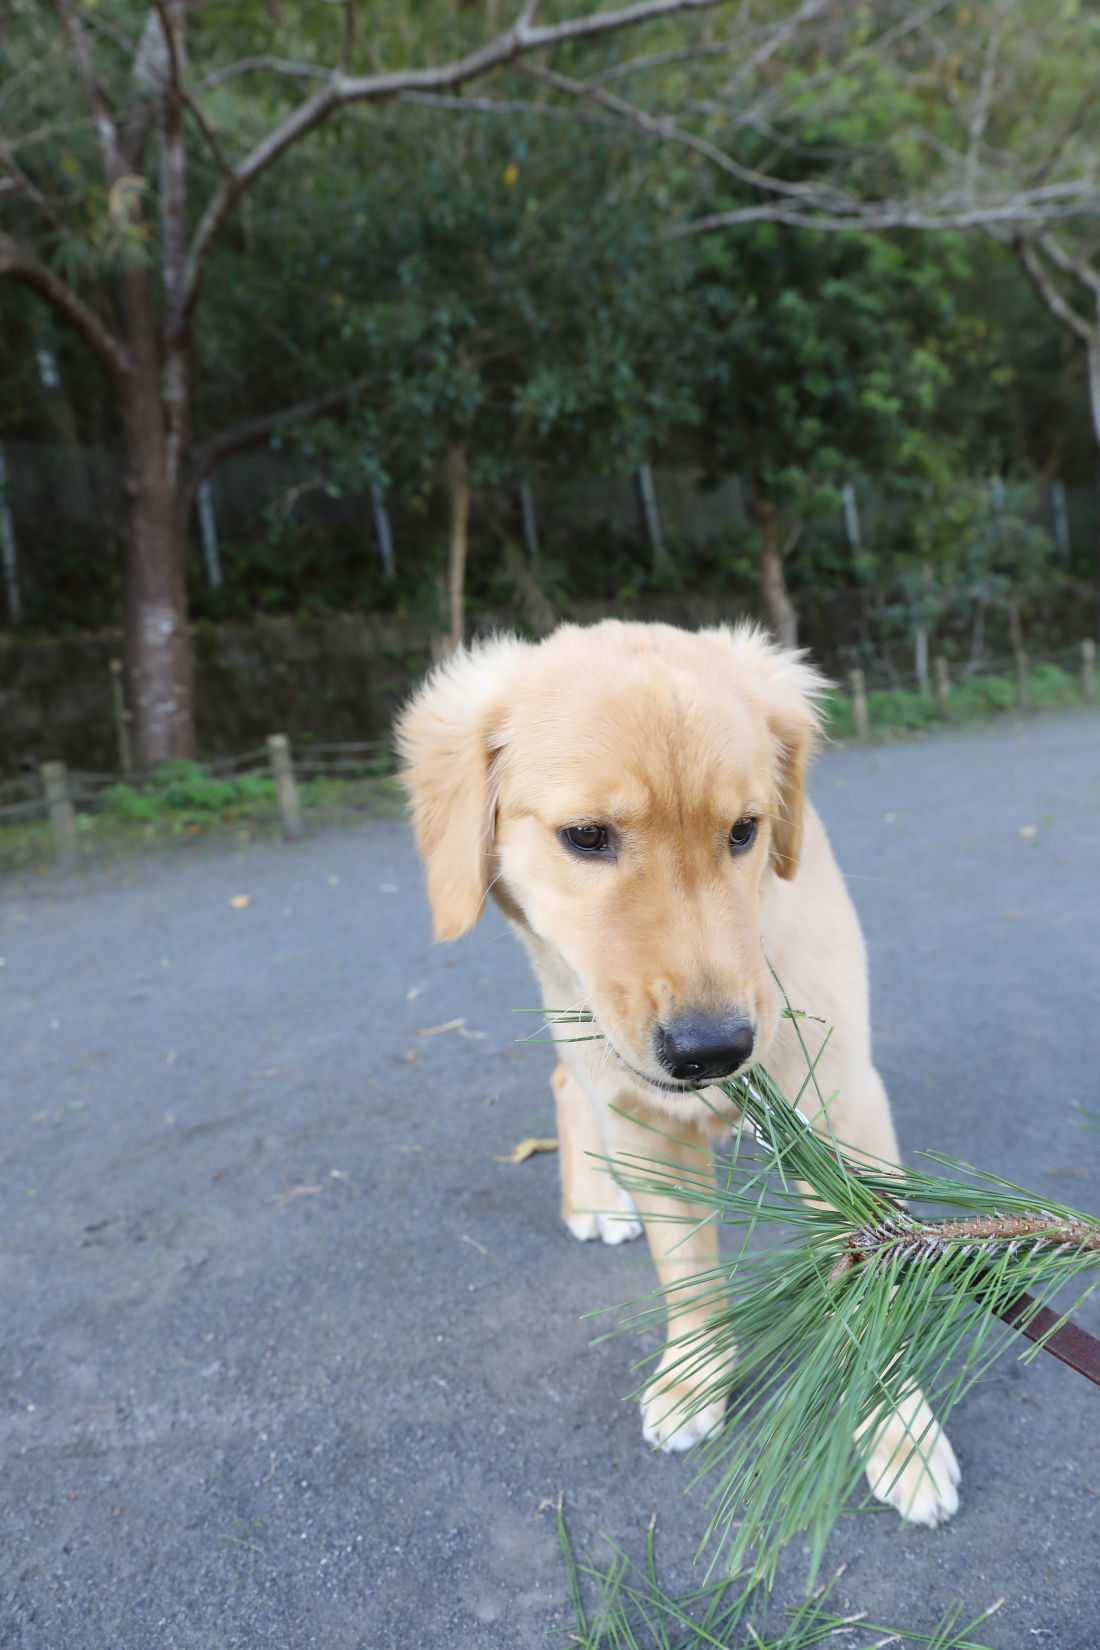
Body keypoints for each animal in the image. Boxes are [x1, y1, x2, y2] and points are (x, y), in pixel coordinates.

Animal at [400, 620, 956, 1531]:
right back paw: (594, 1201)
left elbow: (876, 1279)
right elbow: (688, 1272)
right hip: (579, 1015)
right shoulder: (644, 1116)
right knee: (569, 1083)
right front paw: (696, 1376)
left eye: (745, 830)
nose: (713, 1052)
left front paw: (898, 1429)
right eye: (587, 836)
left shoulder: (842, 1110)